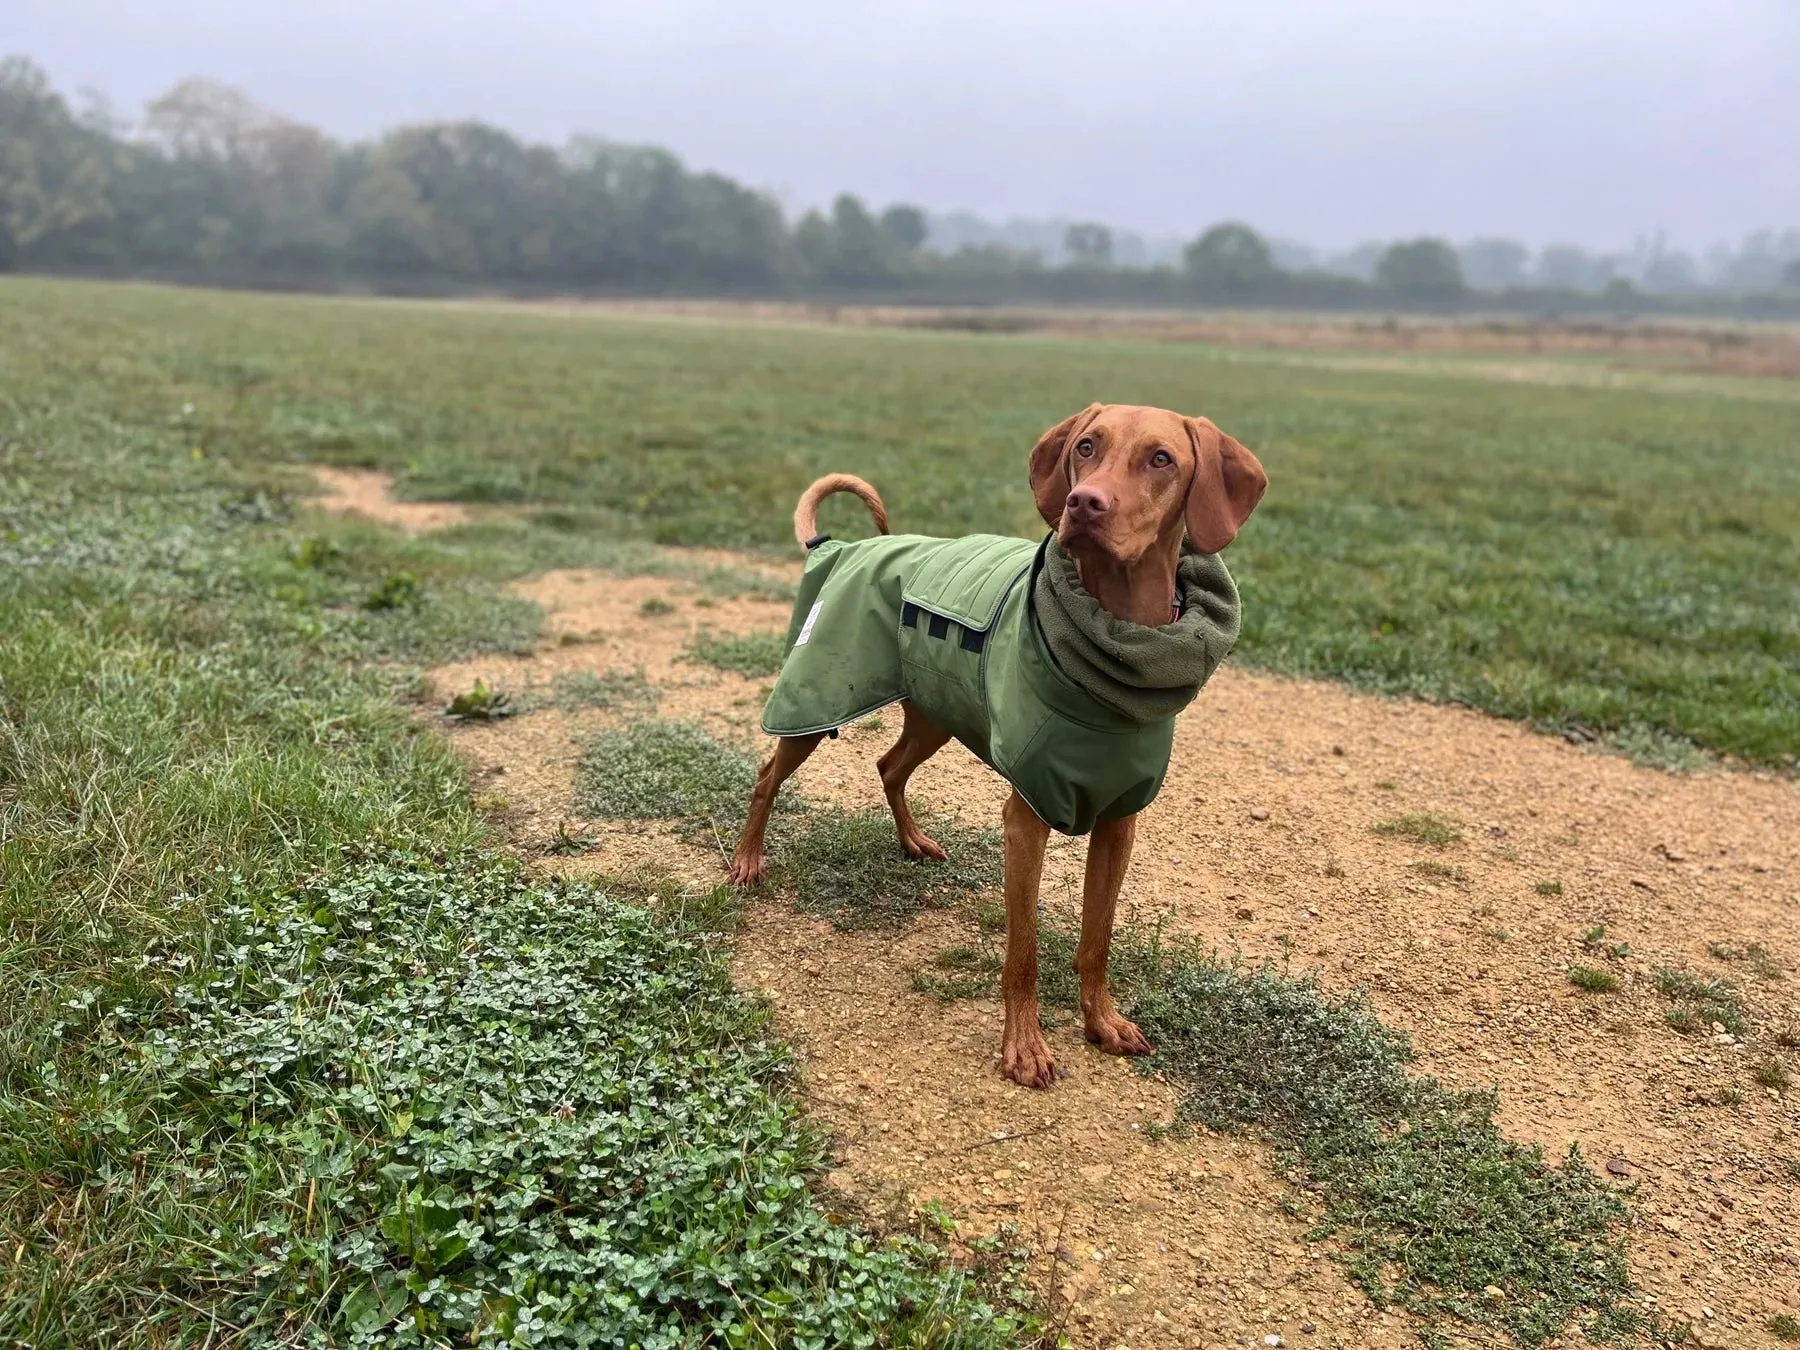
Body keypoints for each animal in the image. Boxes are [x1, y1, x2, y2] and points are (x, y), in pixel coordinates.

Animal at [730, 401, 1267, 1087]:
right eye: (1086, 447)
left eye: (1161, 459)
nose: (1084, 504)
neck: (1115, 648)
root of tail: (840, 547)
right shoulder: (1026, 820)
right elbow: (1023, 953)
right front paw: (1026, 1047)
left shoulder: (1118, 823)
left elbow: (1097, 939)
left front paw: (1102, 1022)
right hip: (815, 700)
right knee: (768, 773)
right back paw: (748, 860)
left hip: (936, 712)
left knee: (888, 766)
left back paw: (912, 840)